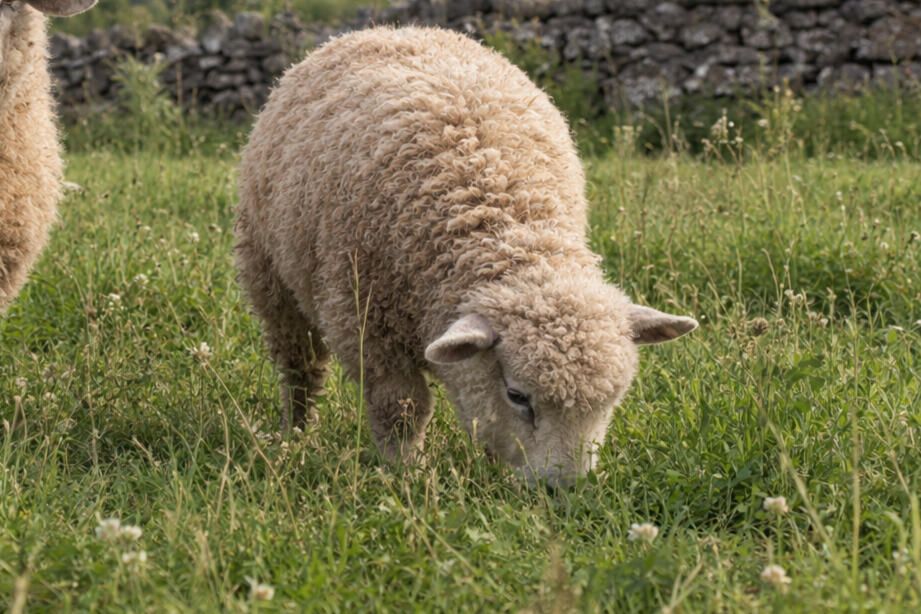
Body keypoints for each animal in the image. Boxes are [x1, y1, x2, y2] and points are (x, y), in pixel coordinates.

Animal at [235, 26, 697, 486]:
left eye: (613, 399)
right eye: (517, 395)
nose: (565, 490)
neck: (501, 225)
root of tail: (390, 29)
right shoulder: (364, 323)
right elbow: (401, 408)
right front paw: (405, 474)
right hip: (269, 277)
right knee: (300, 368)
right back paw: (296, 434)